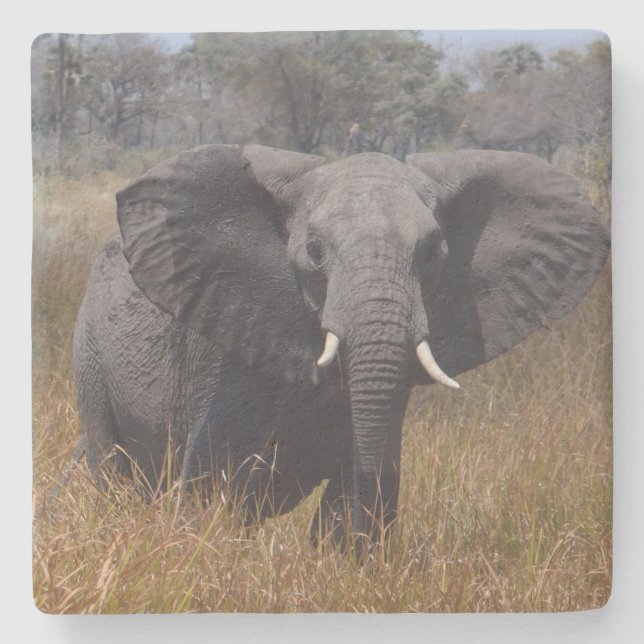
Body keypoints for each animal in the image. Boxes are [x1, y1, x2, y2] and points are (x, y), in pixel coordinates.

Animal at [72, 144, 609, 554]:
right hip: (90, 355)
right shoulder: (223, 356)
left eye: (433, 252)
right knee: (110, 469)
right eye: (314, 251)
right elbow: (211, 485)